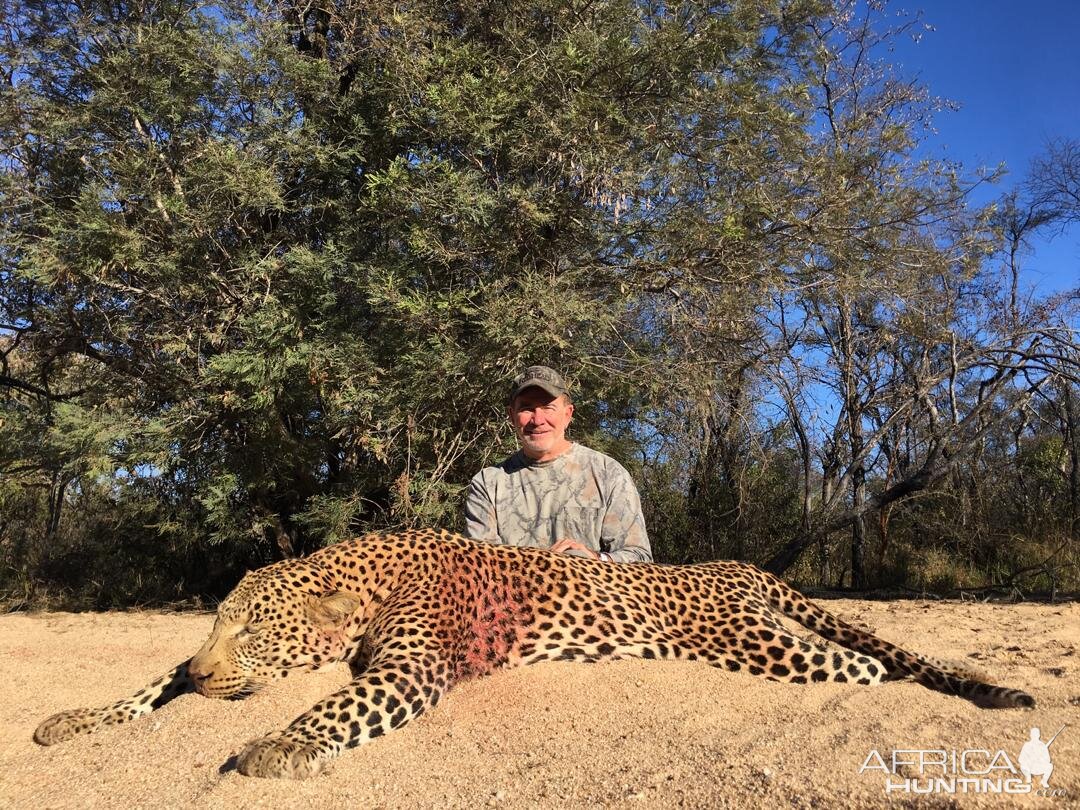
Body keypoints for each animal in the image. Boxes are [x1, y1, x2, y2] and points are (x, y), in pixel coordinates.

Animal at [31, 527, 1028, 781]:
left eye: (251, 627)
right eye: (214, 625)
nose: (210, 669)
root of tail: (738, 565)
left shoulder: (410, 668)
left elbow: (334, 705)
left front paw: (276, 745)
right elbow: (148, 684)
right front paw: (72, 718)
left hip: (759, 645)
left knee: (874, 667)